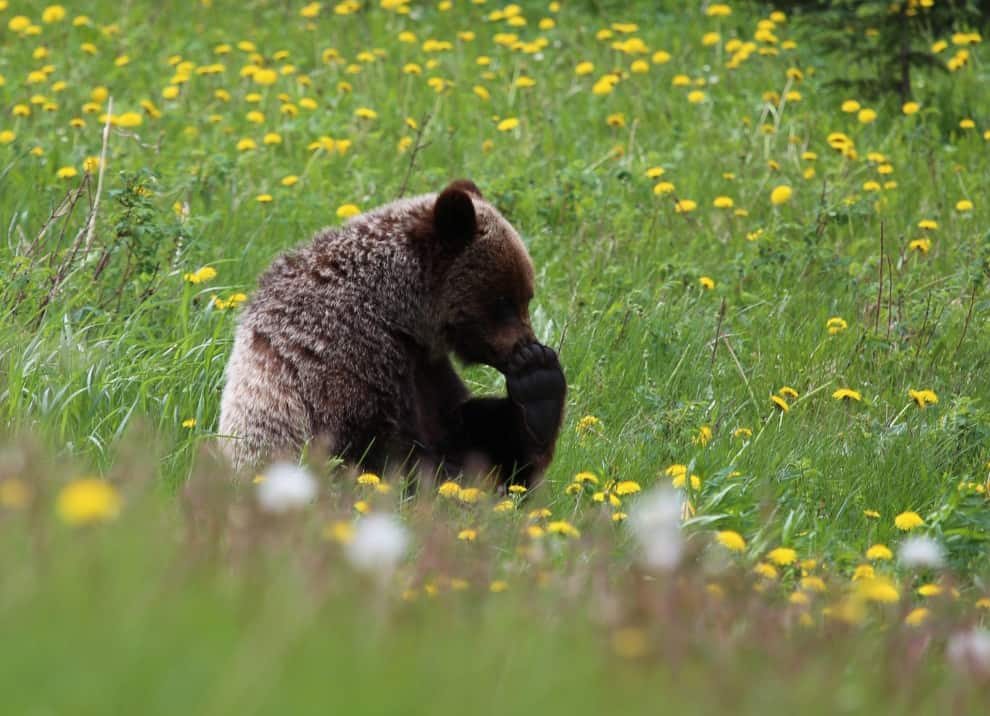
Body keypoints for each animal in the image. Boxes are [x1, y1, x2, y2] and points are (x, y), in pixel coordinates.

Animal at [221, 179, 568, 486]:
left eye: (527, 296)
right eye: (504, 300)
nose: (525, 345)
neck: (400, 315)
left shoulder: (427, 368)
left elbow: (465, 427)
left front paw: (538, 382)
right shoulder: (348, 360)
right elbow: (381, 451)